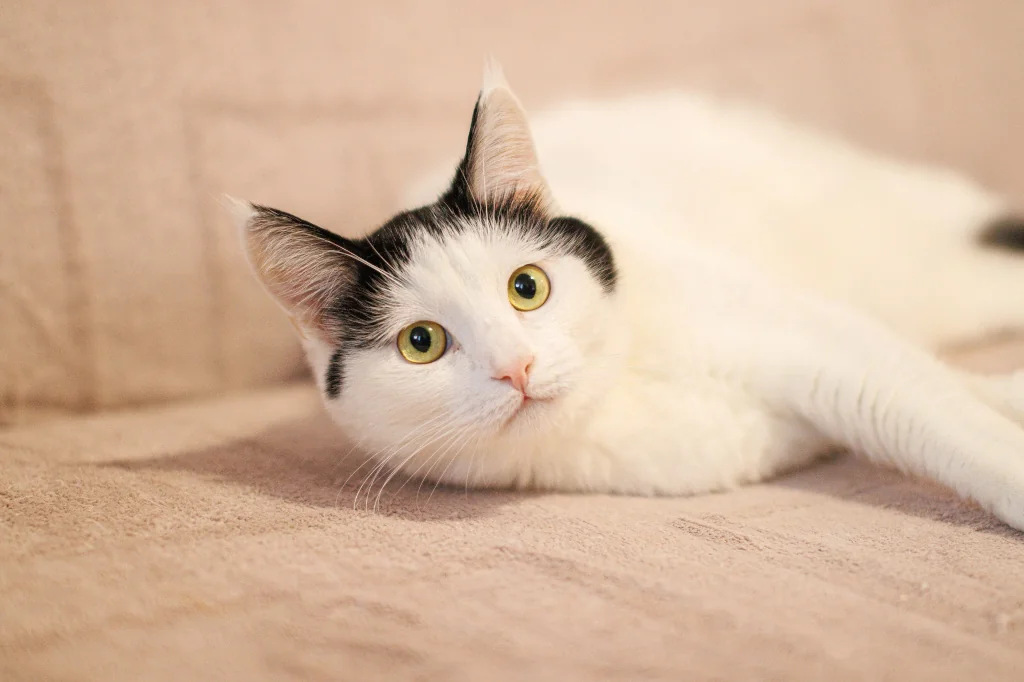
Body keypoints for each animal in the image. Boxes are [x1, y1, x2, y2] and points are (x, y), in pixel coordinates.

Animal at [230, 61, 1024, 528]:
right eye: (421, 343)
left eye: (527, 287)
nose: (516, 367)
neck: (620, 383)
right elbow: (929, 386)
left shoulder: (808, 334)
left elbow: (923, 401)